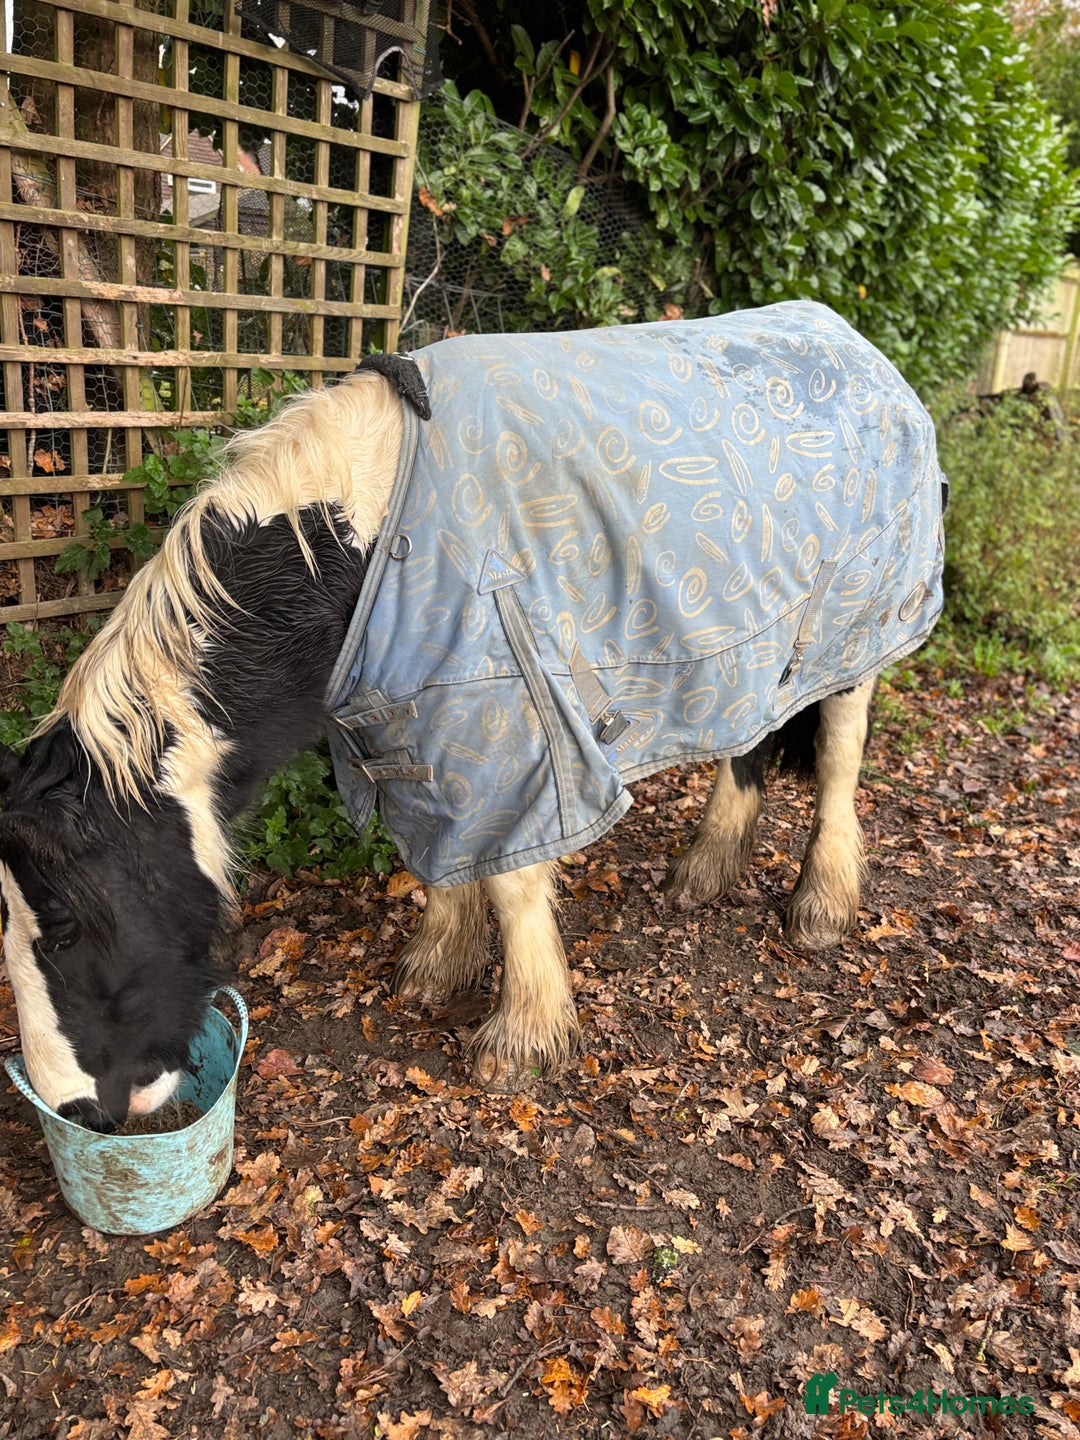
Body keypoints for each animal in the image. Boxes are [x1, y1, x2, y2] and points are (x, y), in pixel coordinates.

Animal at [0, 301, 946, 1128]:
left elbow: (510, 876)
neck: (362, 536)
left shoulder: (509, 723)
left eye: (65, 931)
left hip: (860, 629)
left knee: (840, 754)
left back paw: (822, 904)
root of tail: (866, 352)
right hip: (766, 642)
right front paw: (438, 964)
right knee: (750, 740)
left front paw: (521, 1038)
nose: (78, 1109)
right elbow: (439, 849)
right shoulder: (409, 722)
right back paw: (706, 868)